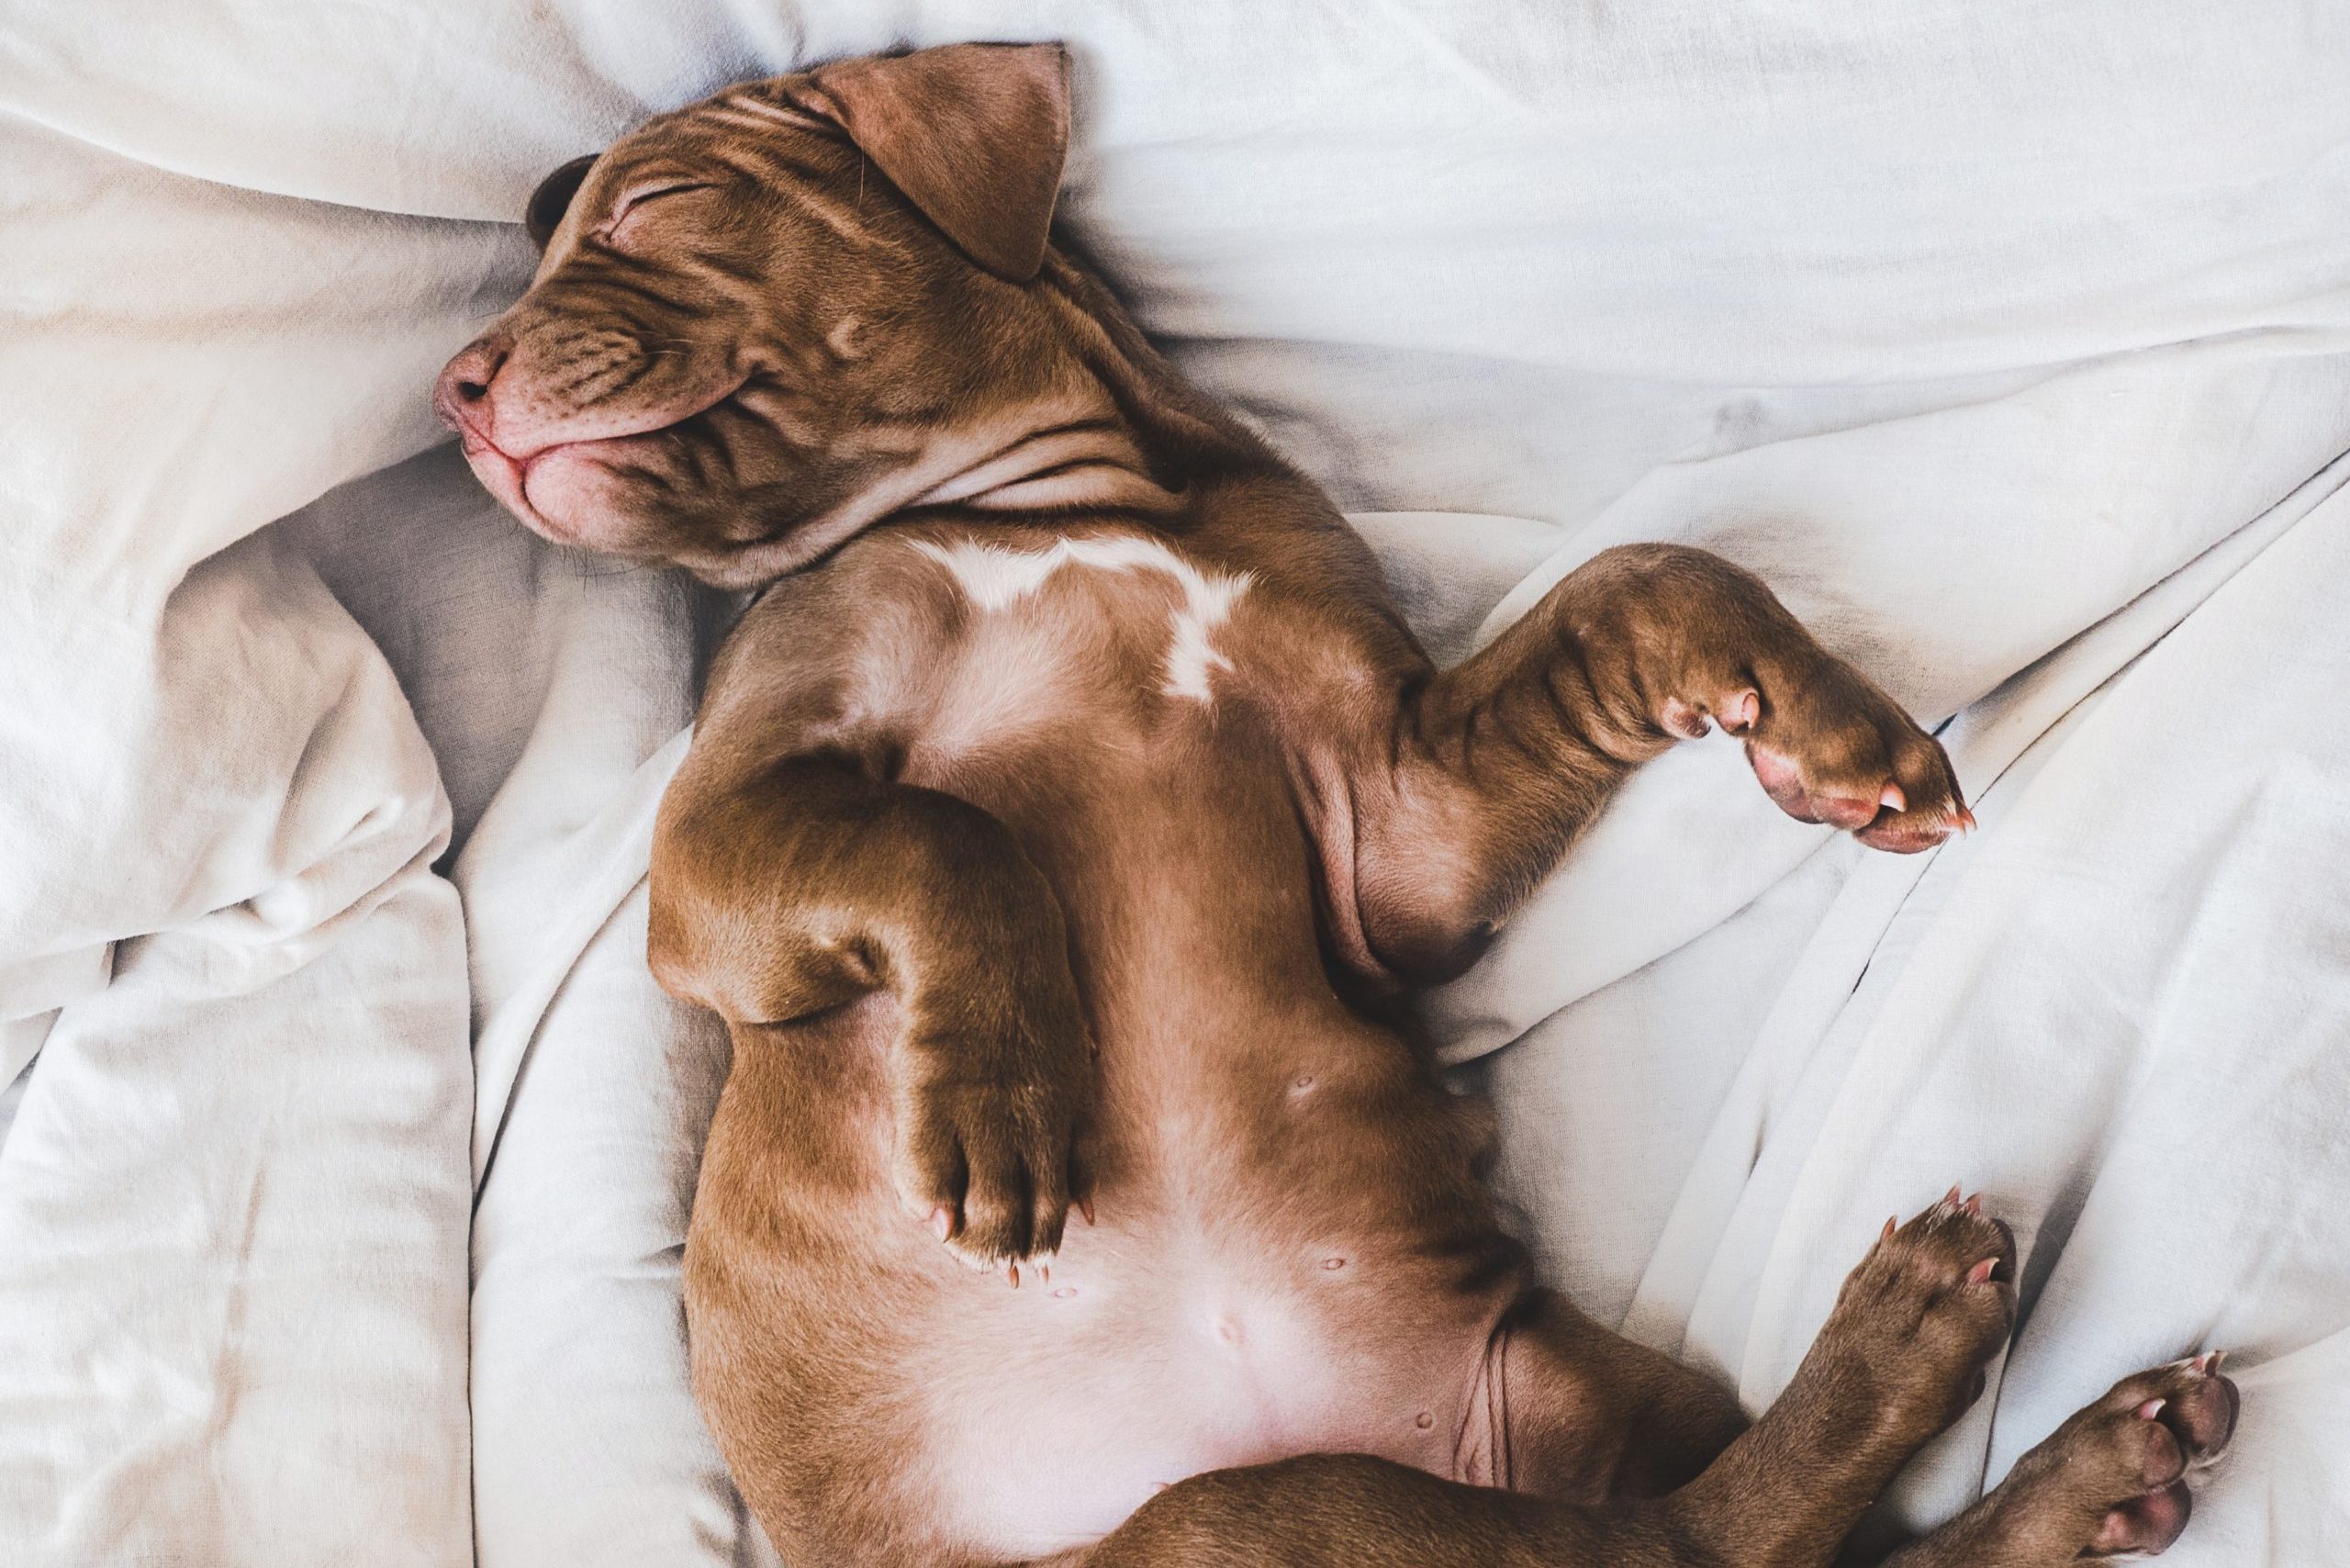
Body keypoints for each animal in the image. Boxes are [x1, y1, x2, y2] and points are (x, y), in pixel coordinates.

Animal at [427, 39, 2237, 1568]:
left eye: (657, 207)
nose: (454, 382)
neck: (1050, 508)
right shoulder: (715, 845)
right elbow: (946, 833)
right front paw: (1006, 1098)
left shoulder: (1398, 832)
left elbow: (1648, 579)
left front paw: (1836, 729)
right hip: (1247, 1520)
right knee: (1709, 1542)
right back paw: (1943, 1353)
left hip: (1573, 1411)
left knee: (1736, 1542)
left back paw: (2058, 1453)